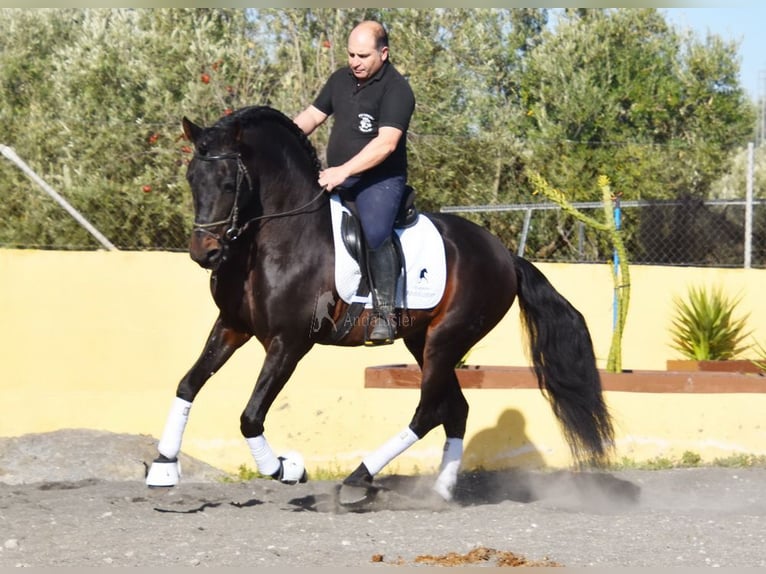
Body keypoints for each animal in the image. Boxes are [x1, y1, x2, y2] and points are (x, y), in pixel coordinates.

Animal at [147, 106, 616, 502]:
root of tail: (505, 256)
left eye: (229, 183)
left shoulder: (289, 343)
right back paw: (440, 492)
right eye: (192, 178)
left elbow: (250, 416)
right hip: (421, 341)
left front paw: (287, 468)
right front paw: (164, 466)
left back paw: (358, 479)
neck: (276, 238)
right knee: (455, 410)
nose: (204, 253)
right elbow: (187, 384)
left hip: (446, 340)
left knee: (428, 411)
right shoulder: (232, 325)